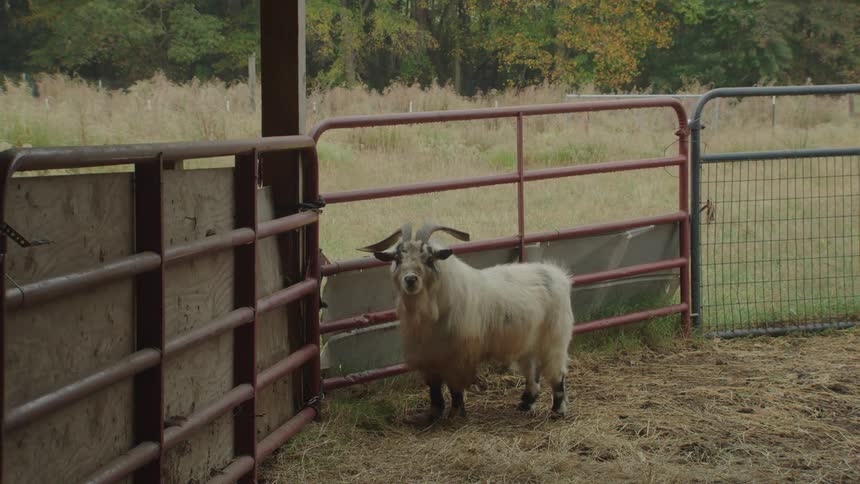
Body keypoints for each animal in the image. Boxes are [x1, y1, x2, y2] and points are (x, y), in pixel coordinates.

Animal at [359, 222, 575, 423]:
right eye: (397, 258)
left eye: (429, 258)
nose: (410, 280)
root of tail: (559, 275)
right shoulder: (429, 355)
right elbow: (434, 388)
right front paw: (433, 414)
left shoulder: (457, 355)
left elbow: (455, 387)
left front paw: (456, 414)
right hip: (527, 341)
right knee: (532, 372)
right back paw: (525, 403)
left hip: (554, 338)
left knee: (557, 374)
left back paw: (558, 410)